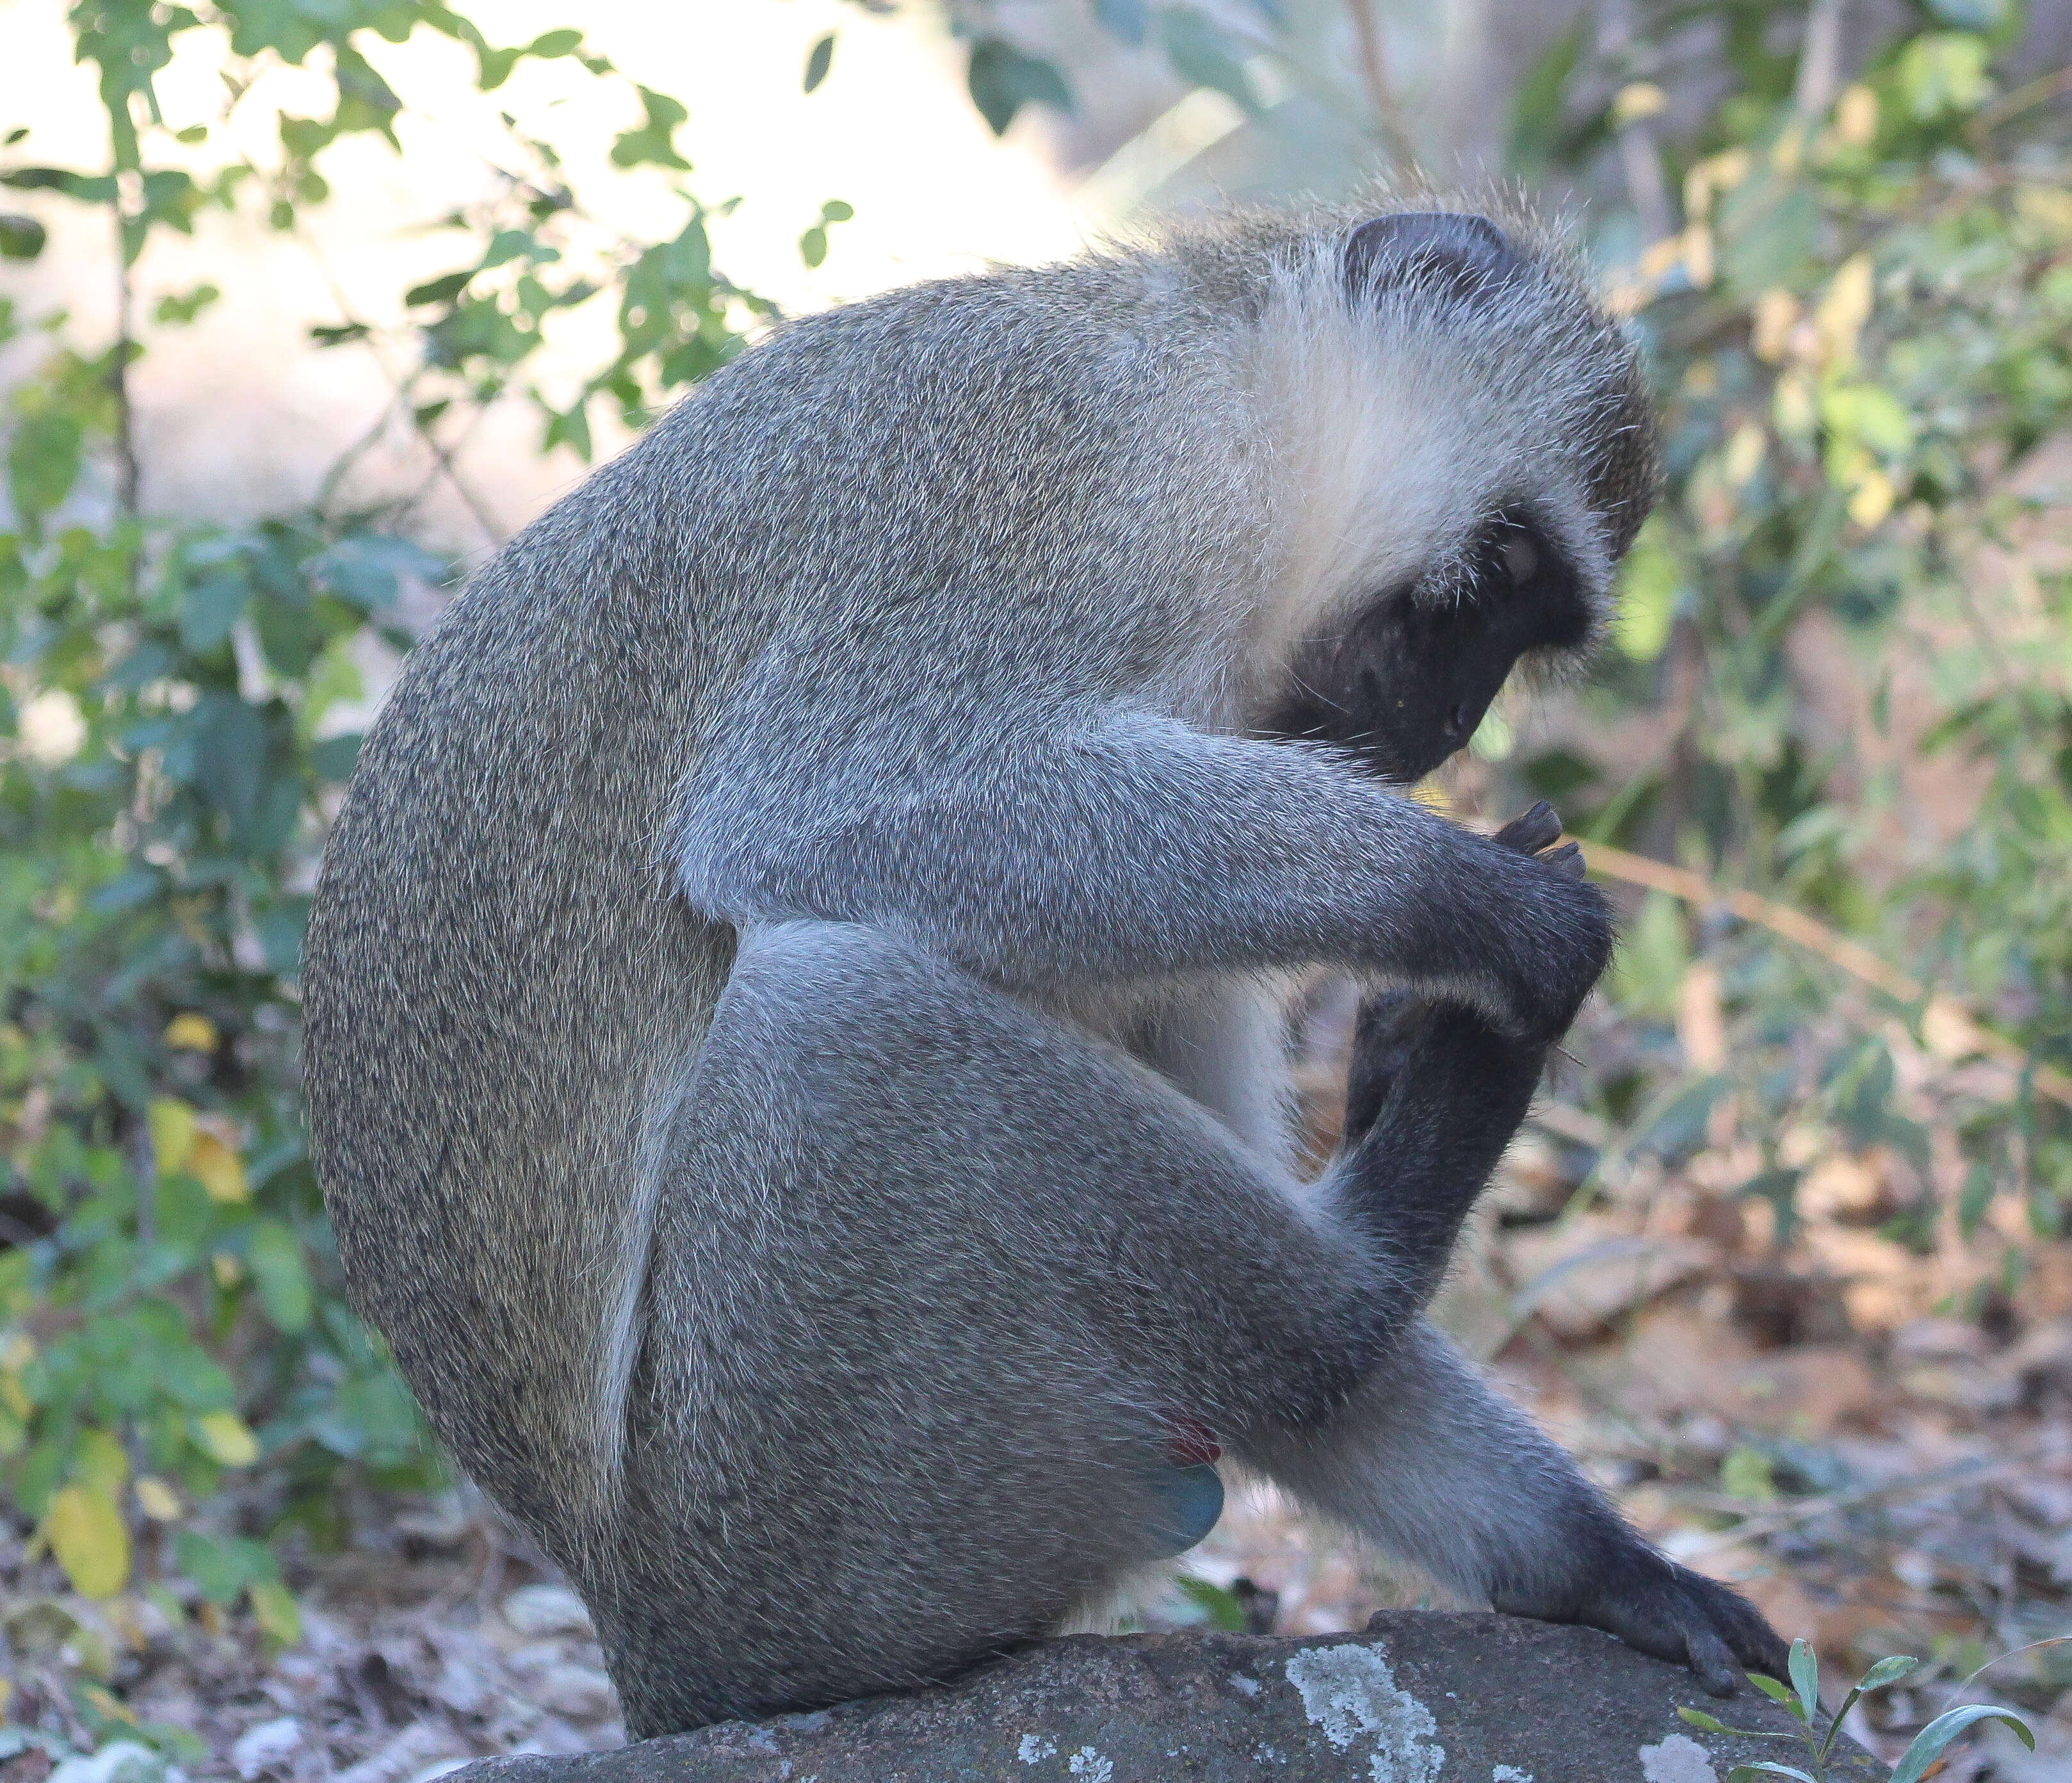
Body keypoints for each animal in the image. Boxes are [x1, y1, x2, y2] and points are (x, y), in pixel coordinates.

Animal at [300, 202, 1790, 1733]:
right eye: (1495, 575)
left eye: (1523, 625)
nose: (1450, 719)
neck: (1241, 389)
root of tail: (649, 1645)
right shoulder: (1094, 481)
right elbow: (802, 814)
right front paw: (1482, 910)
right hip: (801, 1516)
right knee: (844, 1015)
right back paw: (1377, 1250)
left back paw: (1575, 1551)